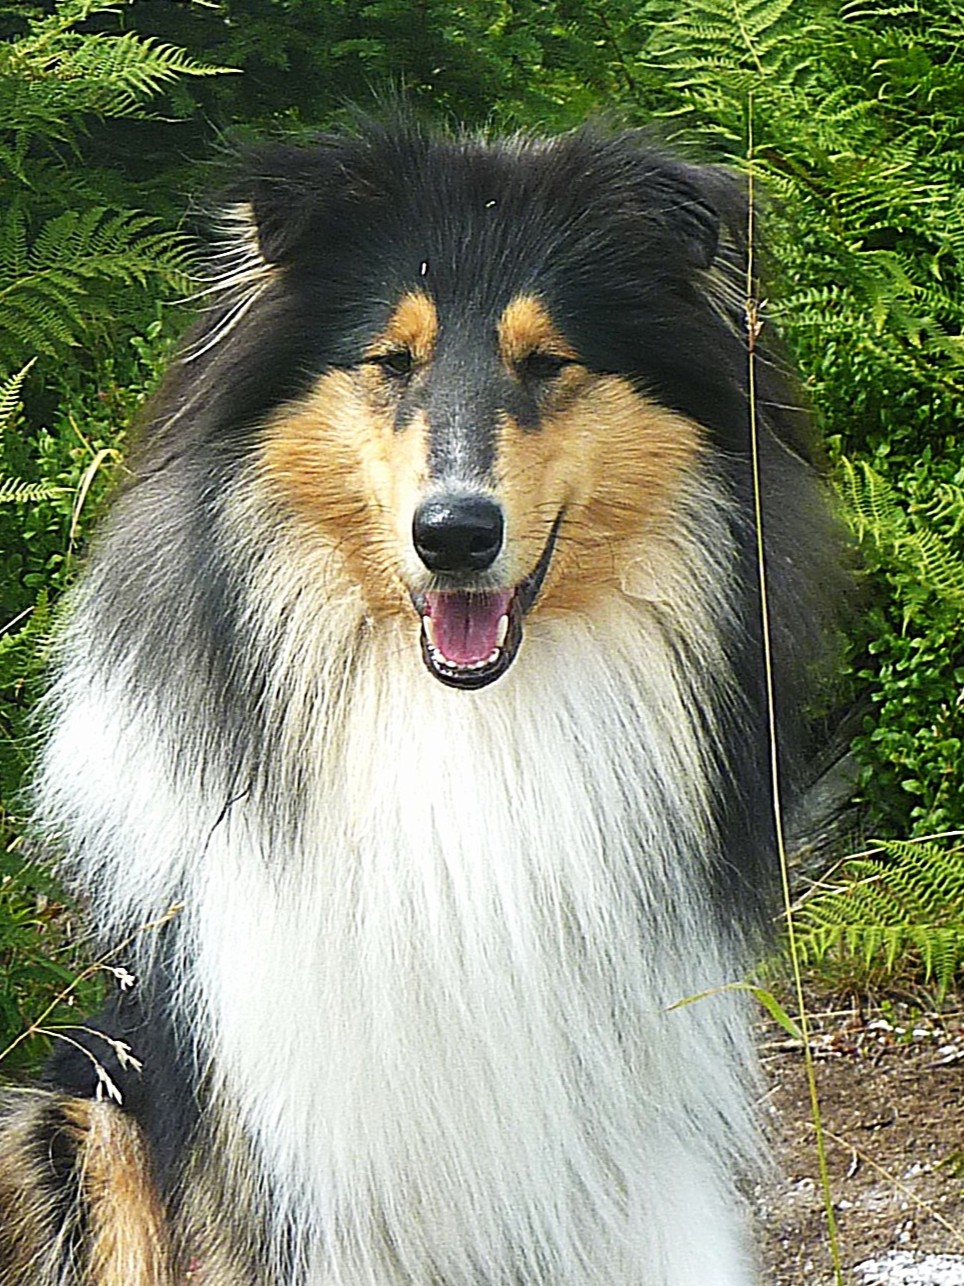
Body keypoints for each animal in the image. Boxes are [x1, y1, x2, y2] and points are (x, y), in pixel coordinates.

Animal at [0, 118, 836, 1284]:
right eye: (391, 361)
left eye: (548, 362)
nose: (455, 536)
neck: (469, 723)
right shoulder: (304, 1150)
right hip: (70, 1121)